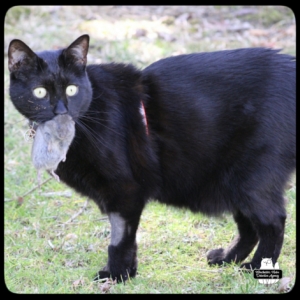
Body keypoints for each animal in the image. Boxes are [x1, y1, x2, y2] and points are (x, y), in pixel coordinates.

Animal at [7, 34, 296, 282]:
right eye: (40, 93)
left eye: (71, 90)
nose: (61, 112)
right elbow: (127, 237)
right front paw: (128, 273)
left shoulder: (125, 190)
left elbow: (119, 238)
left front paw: (116, 275)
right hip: (230, 178)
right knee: (248, 226)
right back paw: (227, 258)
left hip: (252, 175)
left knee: (273, 222)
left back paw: (256, 267)